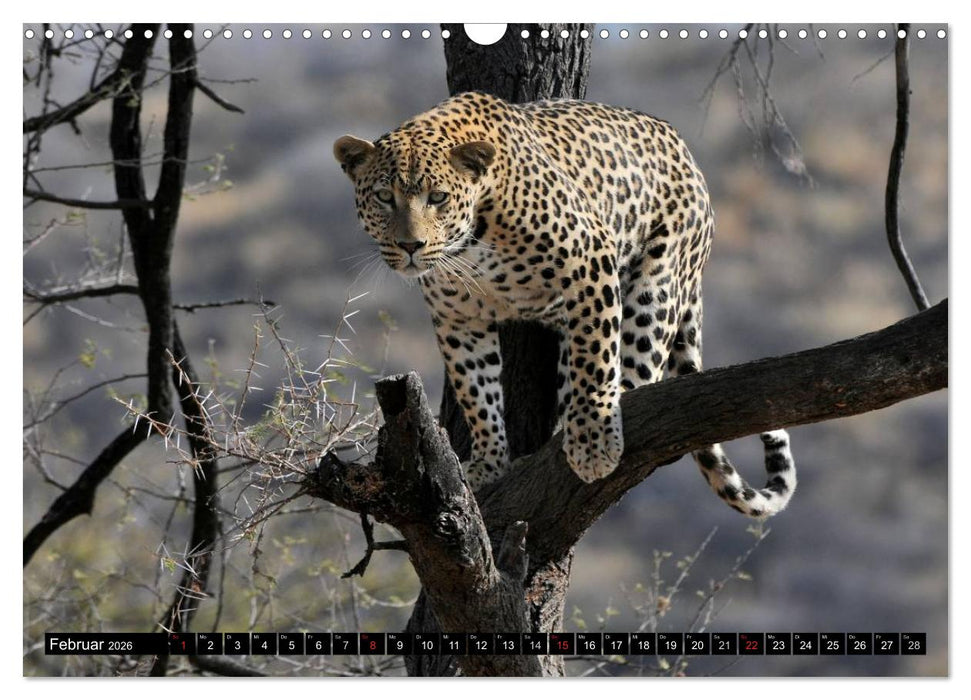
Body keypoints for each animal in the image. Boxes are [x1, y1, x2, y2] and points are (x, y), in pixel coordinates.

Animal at [334, 91, 796, 518]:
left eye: (439, 198)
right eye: (384, 197)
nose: (410, 245)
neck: (470, 240)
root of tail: (686, 153)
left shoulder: (590, 264)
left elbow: (596, 360)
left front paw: (593, 440)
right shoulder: (458, 318)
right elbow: (477, 391)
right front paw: (488, 462)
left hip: (659, 280)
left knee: (640, 366)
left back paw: (603, 416)